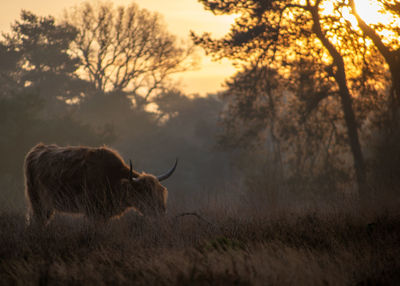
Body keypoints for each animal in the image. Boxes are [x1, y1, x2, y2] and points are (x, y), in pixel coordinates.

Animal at [23, 143, 177, 226]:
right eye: (145, 192)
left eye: (160, 192)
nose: (161, 210)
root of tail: (37, 149)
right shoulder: (92, 212)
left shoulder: (103, 214)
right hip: (37, 203)